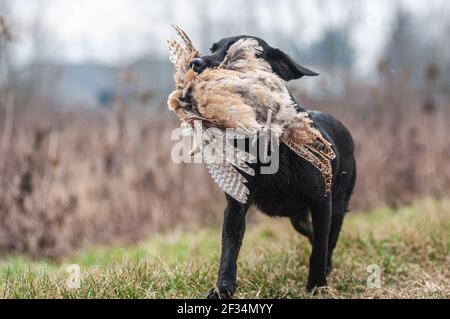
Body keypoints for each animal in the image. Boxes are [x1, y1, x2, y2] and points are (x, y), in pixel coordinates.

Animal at [190, 36, 356, 298]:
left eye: (236, 54)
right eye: (213, 49)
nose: (194, 63)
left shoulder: (322, 201)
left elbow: (320, 247)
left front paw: (317, 285)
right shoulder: (236, 205)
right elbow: (230, 246)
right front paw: (223, 287)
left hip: (337, 205)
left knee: (328, 238)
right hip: (298, 217)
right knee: (312, 232)